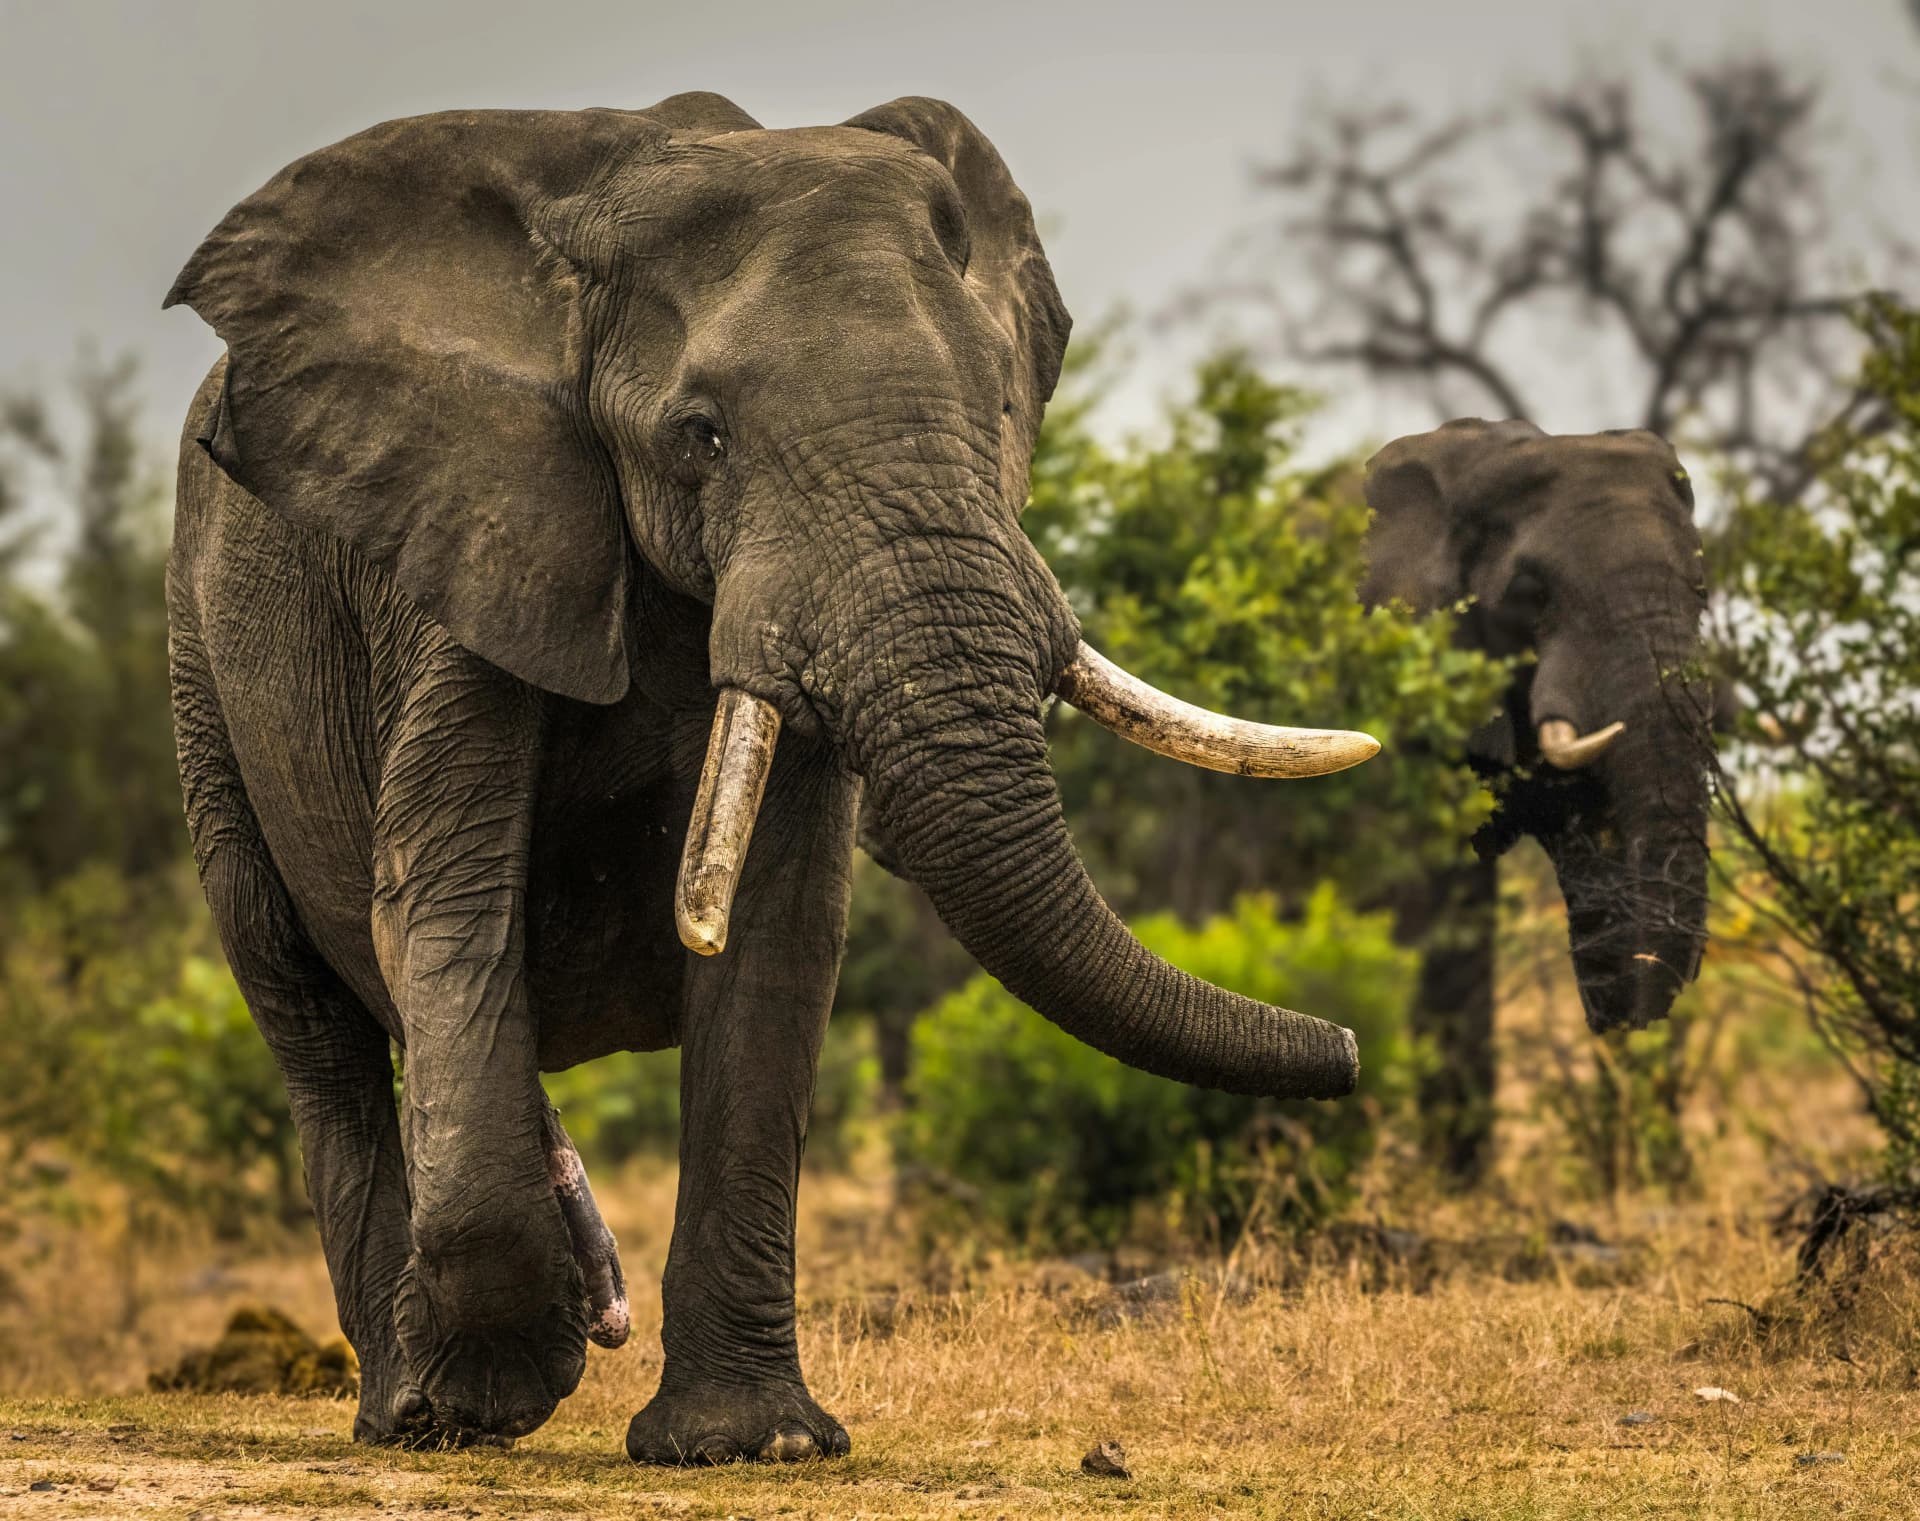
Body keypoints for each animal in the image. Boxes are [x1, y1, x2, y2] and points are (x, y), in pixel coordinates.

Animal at [162, 92, 1380, 1461]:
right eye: (703, 437)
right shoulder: (467, 549)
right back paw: (409, 1410)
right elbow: (445, 904)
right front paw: (501, 1393)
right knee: (305, 1011)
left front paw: (751, 1444)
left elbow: (778, 936)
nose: (1348, 1049)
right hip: (200, 670)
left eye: (1001, 415)